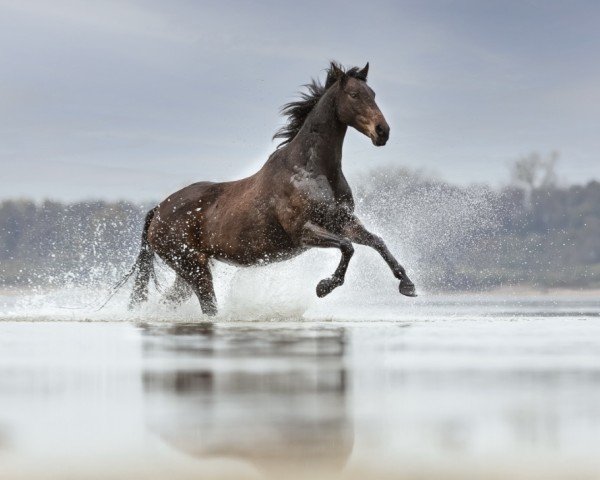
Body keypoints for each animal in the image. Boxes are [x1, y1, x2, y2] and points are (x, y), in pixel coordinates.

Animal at [126, 61, 418, 316]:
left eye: (373, 94)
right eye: (355, 95)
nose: (382, 132)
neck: (312, 170)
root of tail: (158, 210)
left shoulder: (342, 221)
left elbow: (376, 242)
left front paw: (408, 285)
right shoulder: (304, 231)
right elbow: (348, 248)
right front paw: (324, 287)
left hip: (190, 269)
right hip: (193, 268)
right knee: (208, 307)